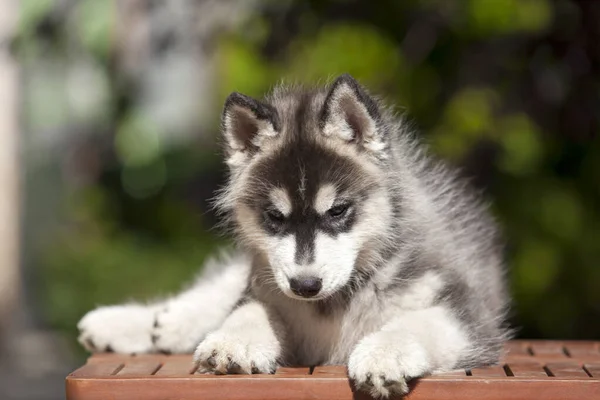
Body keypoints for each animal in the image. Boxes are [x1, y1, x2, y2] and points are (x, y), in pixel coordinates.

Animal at [78, 74, 510, 396]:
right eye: (274, 216)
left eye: (337, 211)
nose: (305, 285)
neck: (334, 302)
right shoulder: (268, 288)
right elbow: (248, 309)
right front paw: (233, 341)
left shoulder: (468, 314)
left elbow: (416, 323)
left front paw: (383, 354)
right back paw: (141, 321)